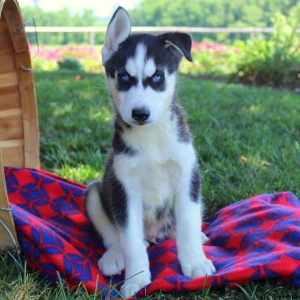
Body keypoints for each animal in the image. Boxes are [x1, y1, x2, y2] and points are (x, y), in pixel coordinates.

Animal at [85, 7, 214, 298]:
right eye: (124, 77)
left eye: (157, 77)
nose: (140, 114)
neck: (152, 139)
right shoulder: (124, 189)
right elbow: (130, 240)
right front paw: (136, 279)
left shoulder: (188, 178)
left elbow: (188, 225)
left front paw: (195, 263)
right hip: (95, 192)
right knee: (114, 235)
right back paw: (114, 257)